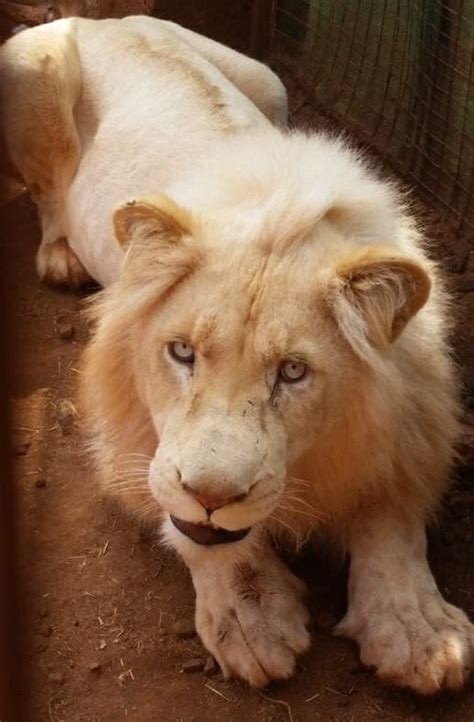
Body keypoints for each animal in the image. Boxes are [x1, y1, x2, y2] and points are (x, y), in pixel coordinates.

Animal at [1, 15, 472, 692]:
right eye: (181, 352)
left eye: (294, 373)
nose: (213, 498)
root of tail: (107, 17)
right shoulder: (130, 436)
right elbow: (190, 526)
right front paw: (252, 617)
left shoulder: (407, 416)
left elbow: (394, 519)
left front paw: (419, 630)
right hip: (32, 72)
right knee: (45, 196)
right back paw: (61, 256)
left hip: (270, 82)